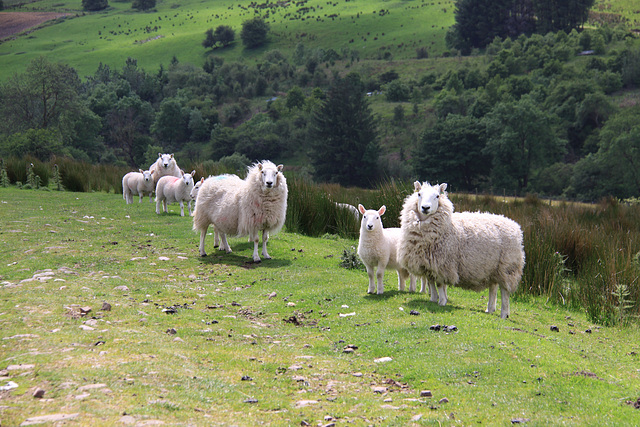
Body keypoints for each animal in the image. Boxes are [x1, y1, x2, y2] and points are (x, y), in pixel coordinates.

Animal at [400, 182, 524, 320]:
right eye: (419, 194)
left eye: (437, 196)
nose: (425, 207)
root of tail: (514, 226)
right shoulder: (429, 265)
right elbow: (431, 283)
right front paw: (433, 299)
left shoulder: (443, 265)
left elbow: (440, 285)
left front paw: (442, 301)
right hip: (493, 269)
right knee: (493, 288)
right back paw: (490, 309)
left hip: (508, 268)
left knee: (505, 291)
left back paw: (504, 313)